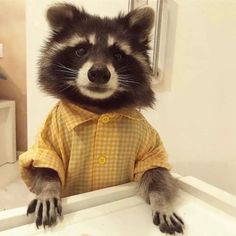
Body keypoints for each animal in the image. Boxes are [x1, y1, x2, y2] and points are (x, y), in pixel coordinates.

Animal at [22, 3, 183, 234]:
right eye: (81, 50)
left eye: (118, 55)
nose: (99, 72)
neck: (98, 107)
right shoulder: (49, 136)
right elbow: (45, 169)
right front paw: (48, 190)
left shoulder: (149, 144)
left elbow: (157, 174)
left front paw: (162, 201)